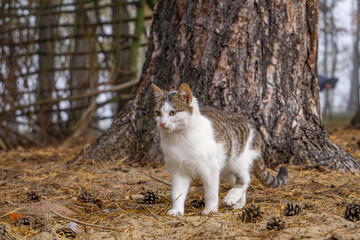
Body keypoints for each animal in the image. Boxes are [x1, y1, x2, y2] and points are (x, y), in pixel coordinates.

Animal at [151, 82, 286, 216]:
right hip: (226, 169)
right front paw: (177, 210)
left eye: (172, 113)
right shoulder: (178, 171)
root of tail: (253, 127)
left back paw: (231, 197)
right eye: (158, 113)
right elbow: (177, 194)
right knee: (237, 181)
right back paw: (239, 203)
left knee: (246, 179)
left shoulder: (209, 170)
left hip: (239, 160)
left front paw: (210, 210)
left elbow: (211, 193)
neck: (179, 138)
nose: (162, 123)